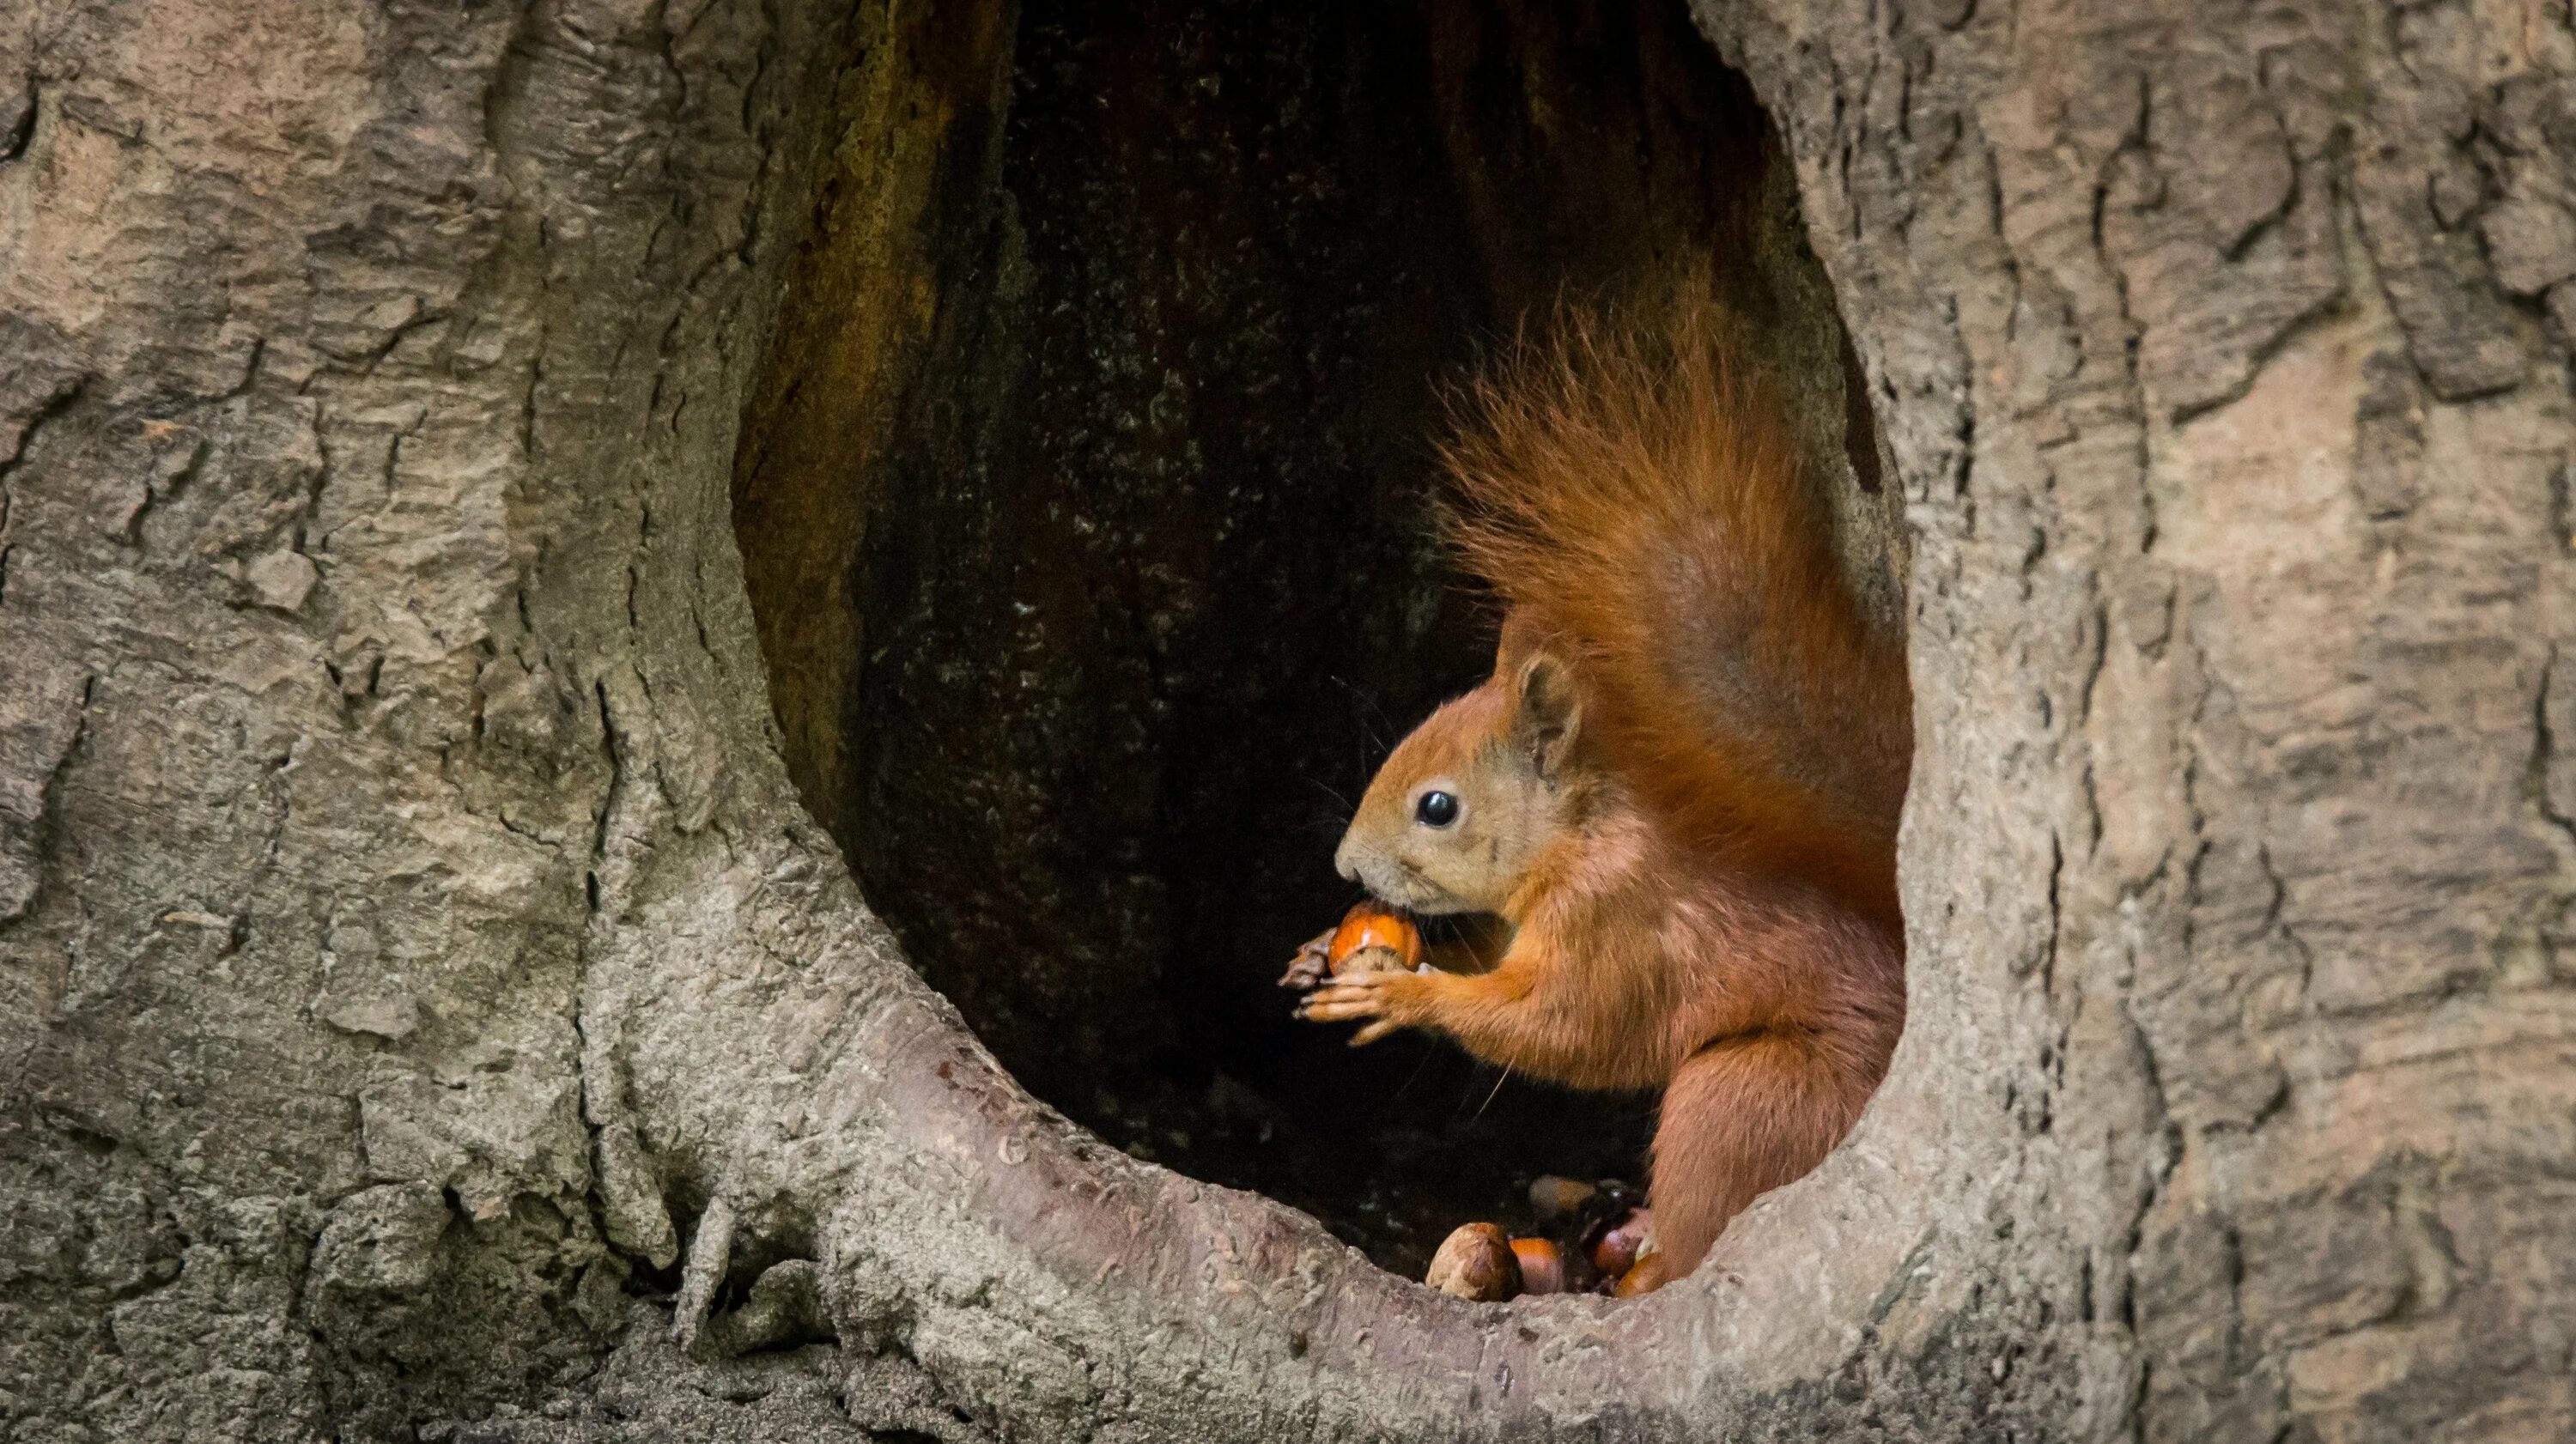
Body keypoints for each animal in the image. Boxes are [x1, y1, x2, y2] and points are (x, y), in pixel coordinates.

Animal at [1298, 289, 1906, 1282]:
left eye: (1438, 806)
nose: (1347, 868)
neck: (1578, 836)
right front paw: (1321, 949)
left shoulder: (1618, 923)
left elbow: (1558, 1027)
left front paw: (1400, 996)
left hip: (1742, 1097)